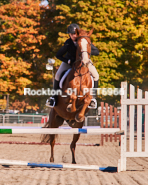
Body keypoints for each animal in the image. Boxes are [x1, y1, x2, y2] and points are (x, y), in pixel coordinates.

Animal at [41, 27, 93, 163]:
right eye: (78, 45)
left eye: (89, 44)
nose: (85, 61)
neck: (81, 74)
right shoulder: (65, 96)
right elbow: (73, 97)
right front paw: (71, 108)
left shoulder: (88, 95)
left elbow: (87, 100)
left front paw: (79, 115)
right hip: (54, 122)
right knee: (52, 142)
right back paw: (52, 160)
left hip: (78, 128)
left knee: (73, 144)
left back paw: (74, 162)